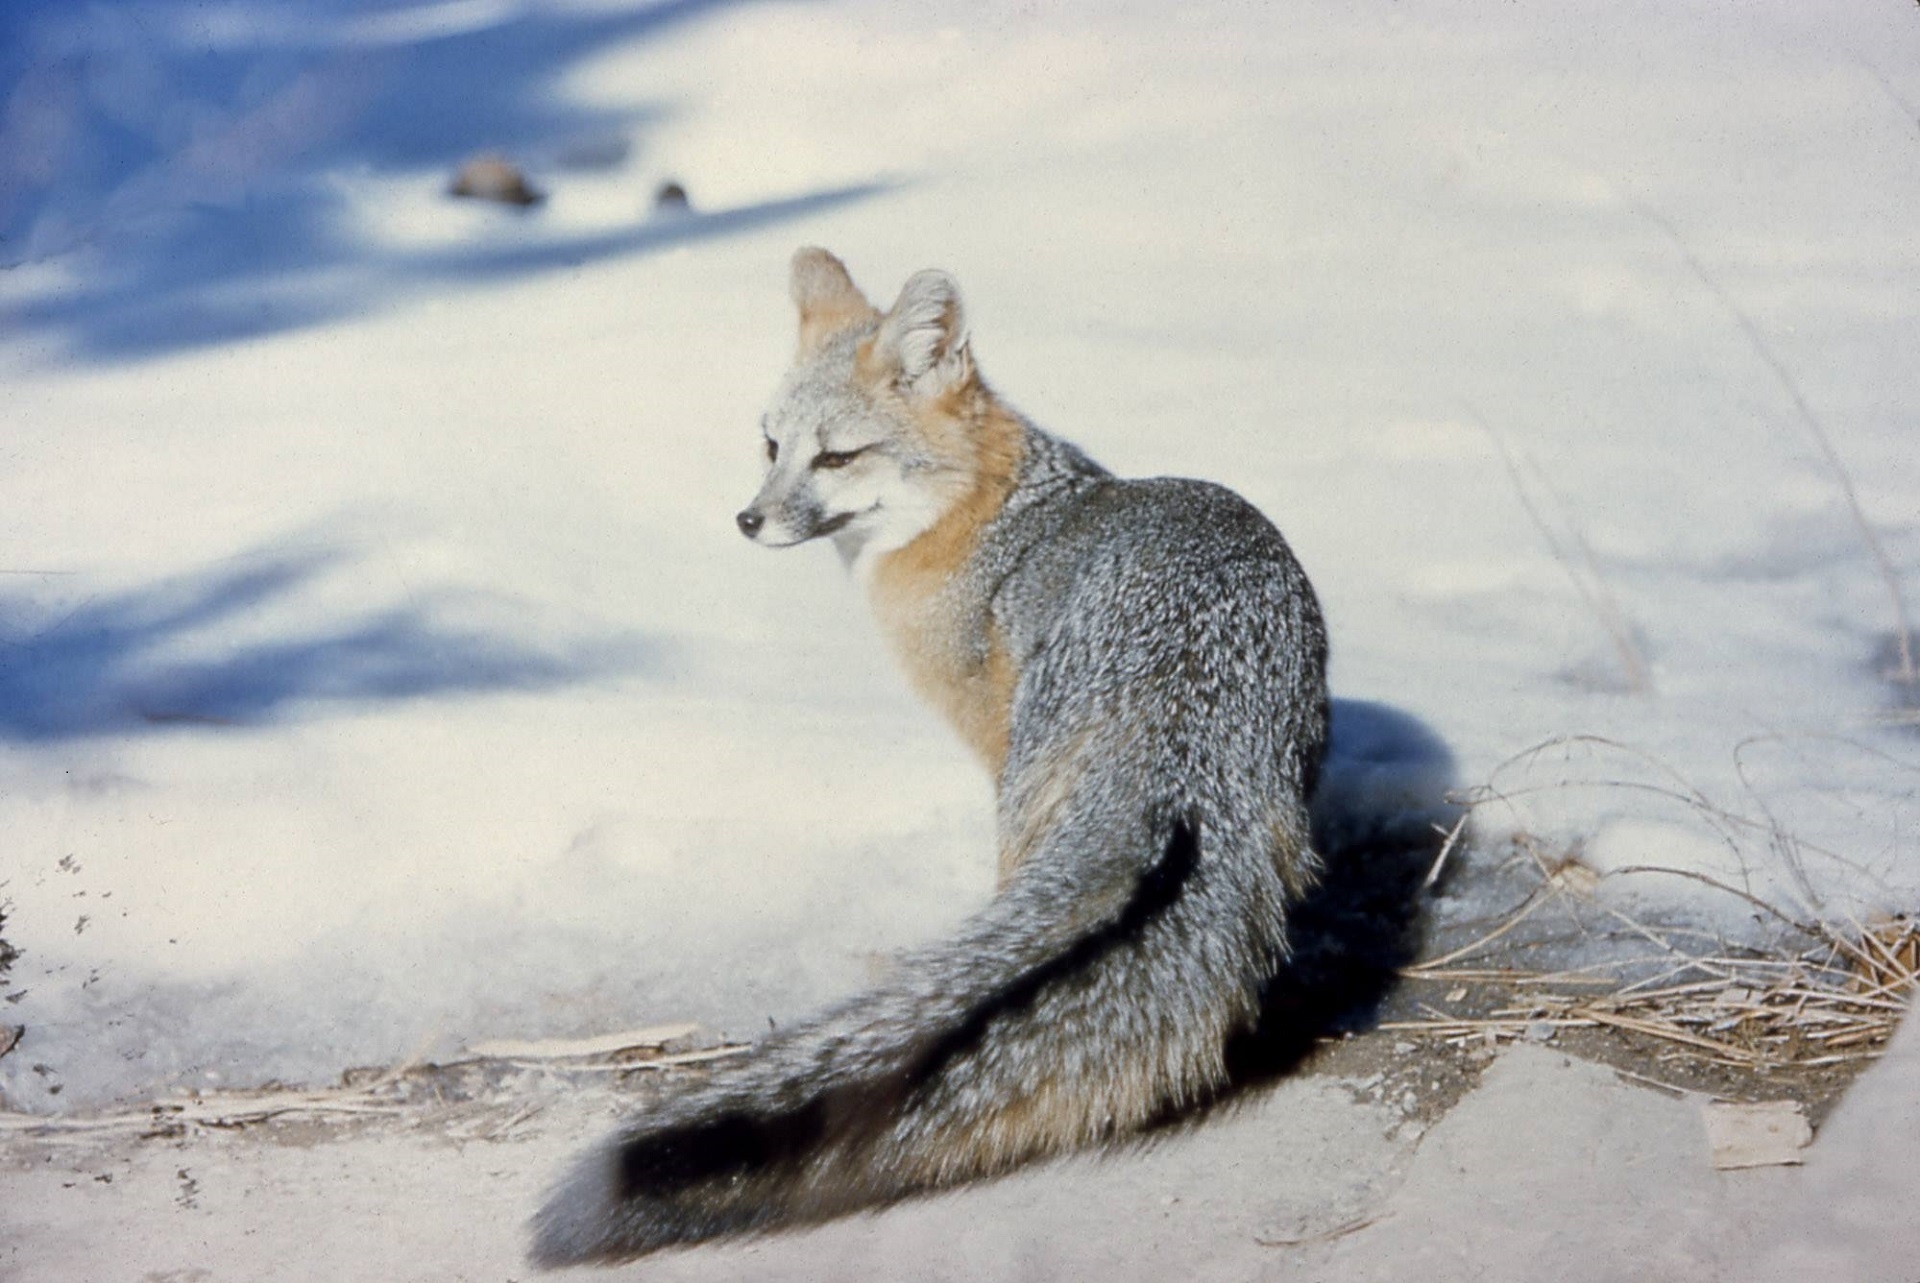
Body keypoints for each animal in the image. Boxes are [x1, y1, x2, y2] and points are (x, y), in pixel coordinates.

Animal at [533, 247, 1328, 1259]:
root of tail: (1189, 694)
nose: (748, 520)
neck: (990, 519)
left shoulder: (992, 744)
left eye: (836, 456)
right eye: (770, 445)